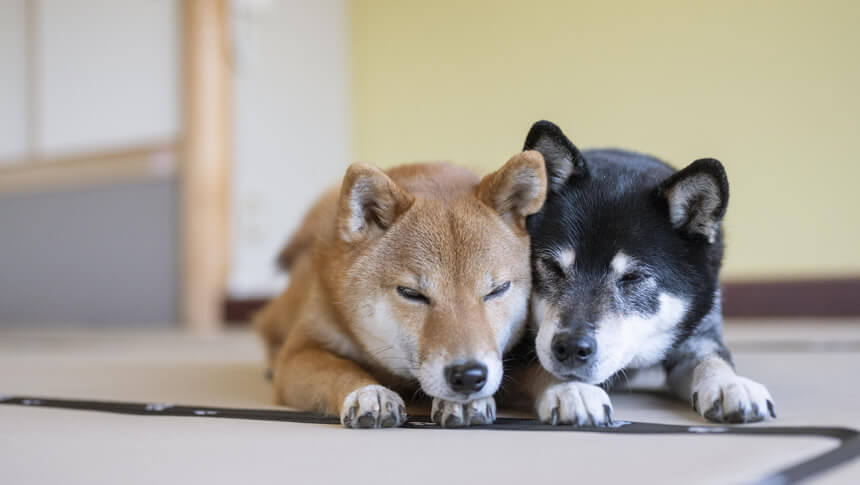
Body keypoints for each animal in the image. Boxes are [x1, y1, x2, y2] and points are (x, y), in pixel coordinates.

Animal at [255, 152, 548, 428]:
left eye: (497, 290)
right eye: (411, 294)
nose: (468, 375)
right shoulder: (299, 353)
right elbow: (339, 368)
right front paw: (368, 392)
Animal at [520, 120, 776, 424]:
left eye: (633, 277)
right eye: (552, 266)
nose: (570, 347)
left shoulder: (697, 332)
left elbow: (712, 358)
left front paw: (729, 383)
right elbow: (537, 365)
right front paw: (570, 389)